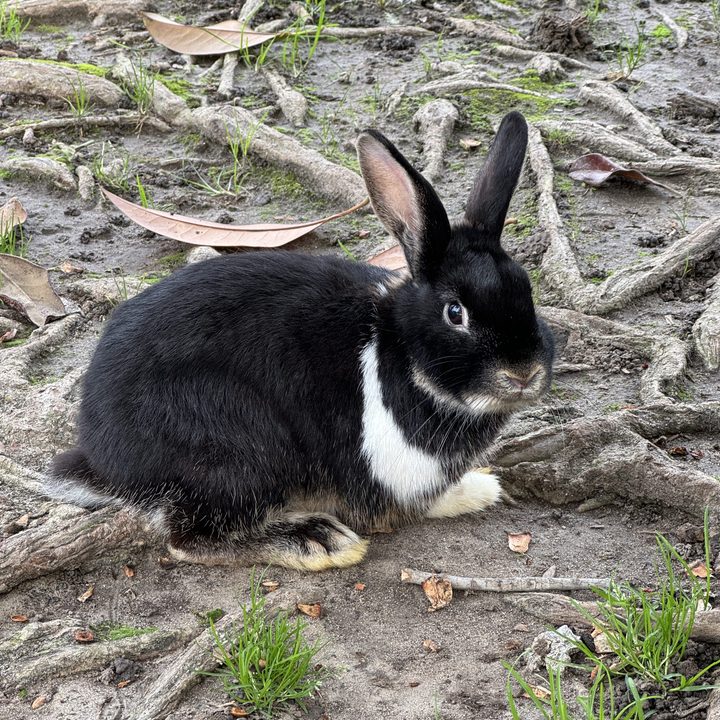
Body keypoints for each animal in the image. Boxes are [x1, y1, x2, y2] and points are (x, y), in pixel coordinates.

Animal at [46, 110, 554, 571]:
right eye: (455, 313)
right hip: (234, 444)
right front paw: (479, 490)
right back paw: (318, 542)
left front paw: (481, 486)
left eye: (526, 289)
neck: (401, 352)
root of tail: (104, 457)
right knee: (190, 538)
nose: (524, 373)